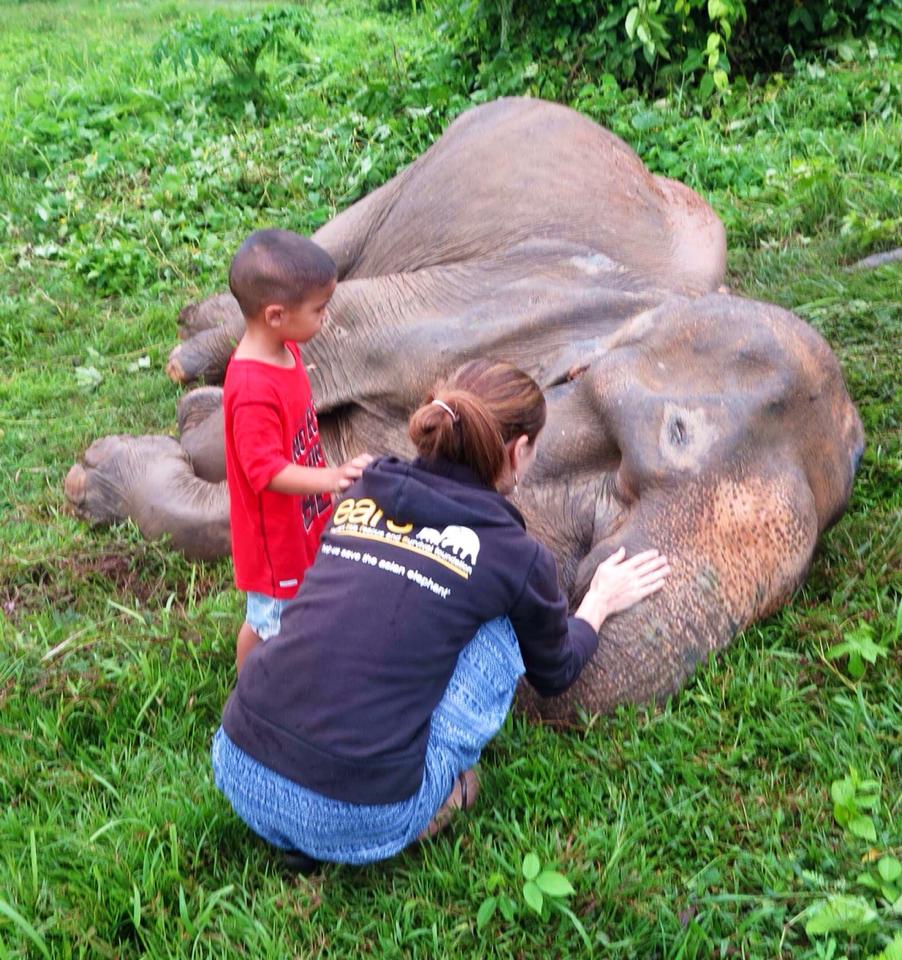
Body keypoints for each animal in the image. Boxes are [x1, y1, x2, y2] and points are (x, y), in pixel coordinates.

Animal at [64, 97, 864, 722]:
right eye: (653, 450)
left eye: (788, 587)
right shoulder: (491, 298)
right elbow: (328, 346)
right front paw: (147, 447)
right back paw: (188, 350)